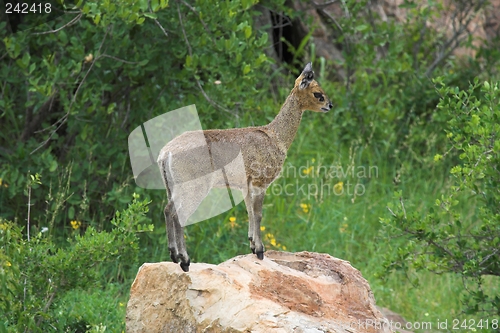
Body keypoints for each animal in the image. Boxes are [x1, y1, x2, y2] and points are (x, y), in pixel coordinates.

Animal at [158, 63, 334, 272]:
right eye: (317, 93)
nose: (330, 105)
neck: (276, 136)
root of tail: (165, 154)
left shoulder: (246, 186)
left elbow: (249, 211)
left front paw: (252, 244)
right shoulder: (260, 182)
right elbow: (258, 214)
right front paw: (260, 250)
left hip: (172, 189)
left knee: (168, 210)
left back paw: (173, 256)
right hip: (194, 188)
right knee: (178, 215)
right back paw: (184, 261)